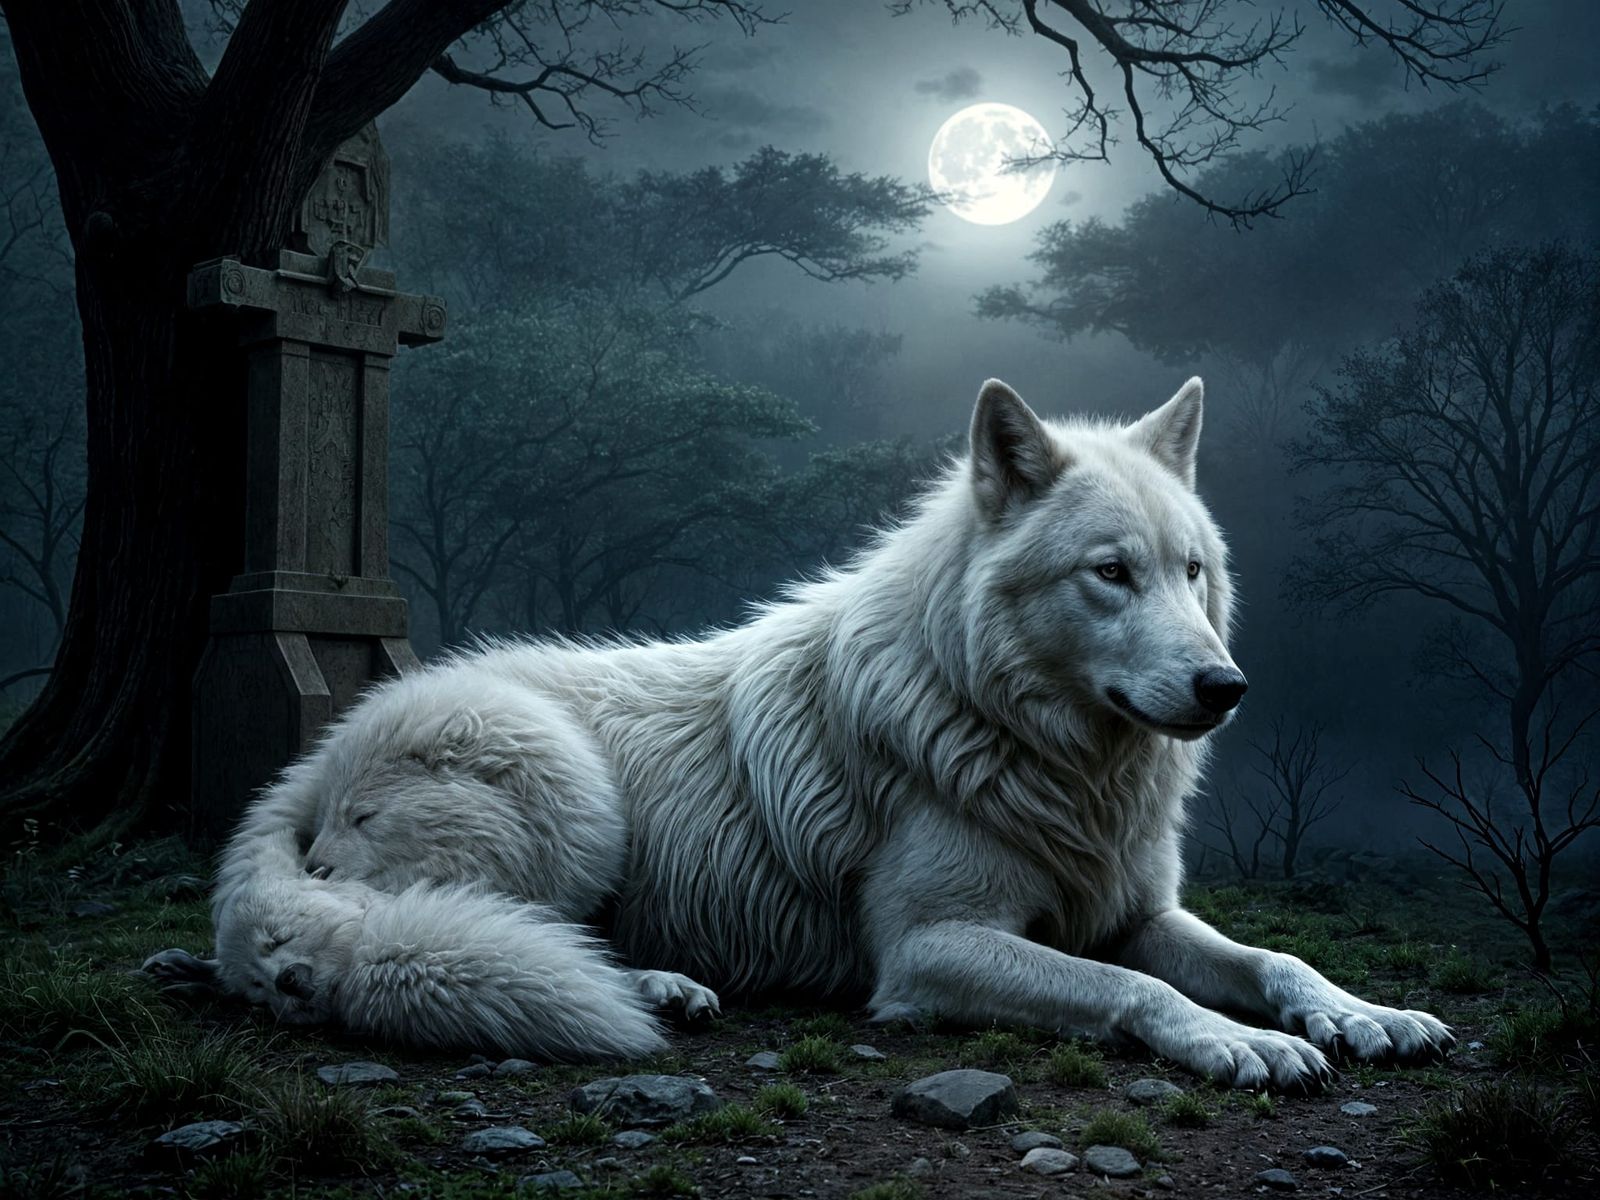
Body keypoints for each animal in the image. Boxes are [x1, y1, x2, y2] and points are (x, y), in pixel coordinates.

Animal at [149, 377, 1452, 1086]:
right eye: (1109, 574)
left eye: (1190, 572)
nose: (1223, 685)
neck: (1034, 750)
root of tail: (315, 755)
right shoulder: (928, 951)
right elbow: (1126, 991)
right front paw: (1235, 1043)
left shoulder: (1136, 910)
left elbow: (1273, 961)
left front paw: (1361, 1014)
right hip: (571, 799)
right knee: (427, 935)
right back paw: (644, 986)